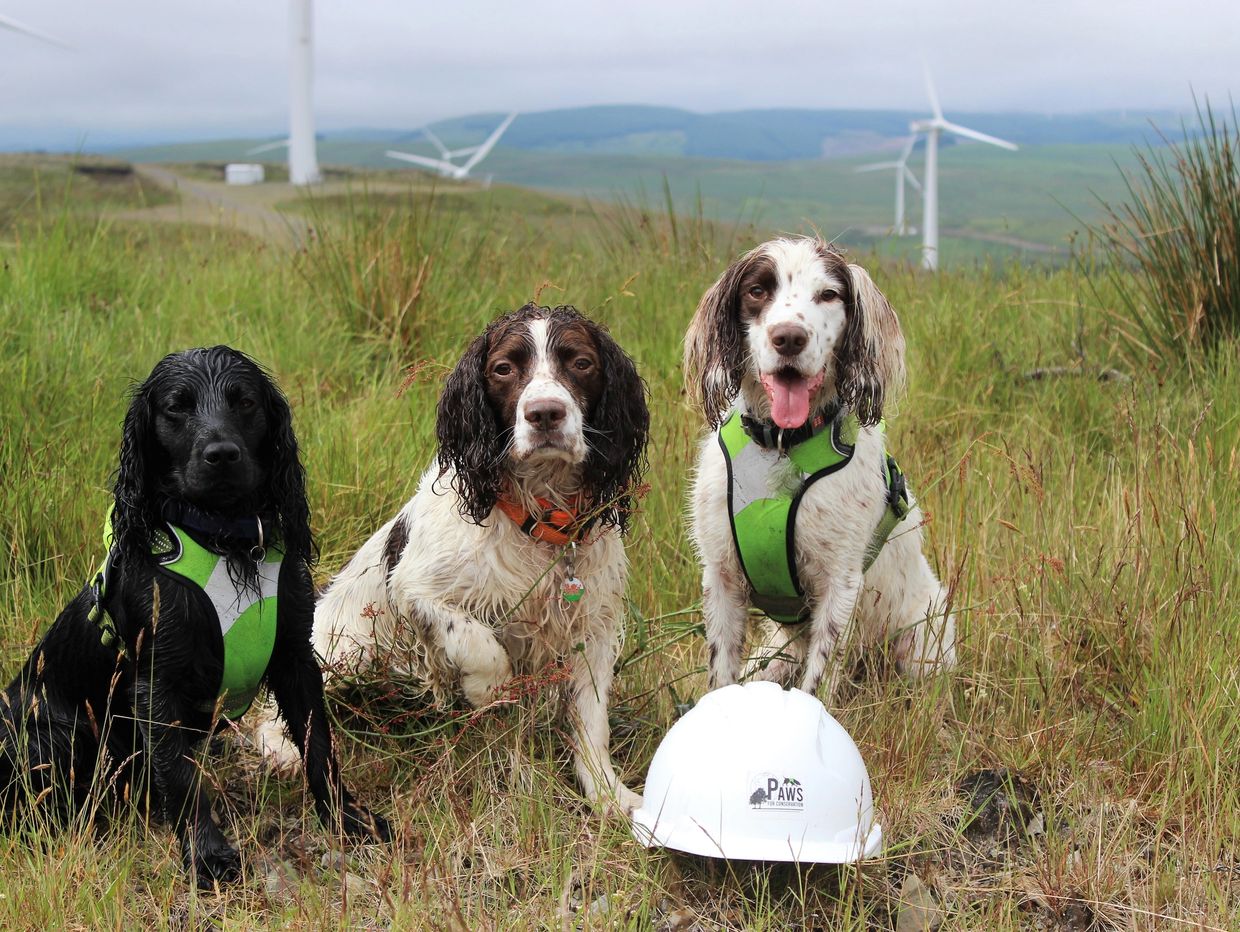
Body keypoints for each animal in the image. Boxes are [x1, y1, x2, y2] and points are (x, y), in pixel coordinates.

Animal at [0, 347, 386, 882]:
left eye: (244, 401)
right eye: (176, 407)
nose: (221, 454)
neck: (226, 540)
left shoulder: (295, 659)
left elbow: (319, 748)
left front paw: (349, 819)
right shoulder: (156, 682)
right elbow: (181, 777)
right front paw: (208, 856)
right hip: (53, 735)